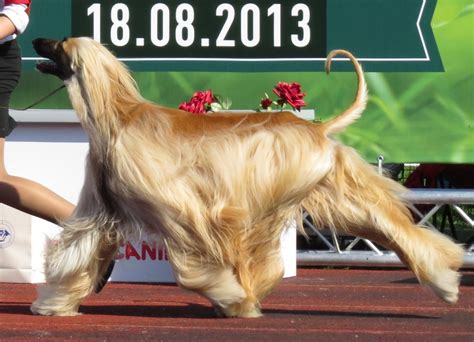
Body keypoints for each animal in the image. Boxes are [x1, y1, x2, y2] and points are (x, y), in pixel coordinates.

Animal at [29, 37, 462, 318]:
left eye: (59, 45)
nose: (35, 38)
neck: (116, 115)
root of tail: (318, 128)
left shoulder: (181, 210)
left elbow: (194, 268)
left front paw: (227, 294)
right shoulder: (100, 210)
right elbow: (77, 250)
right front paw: (54, 304)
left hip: (280, 189)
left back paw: (244, 303)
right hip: (325, 190)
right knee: (388, 227)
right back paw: (444, 280)